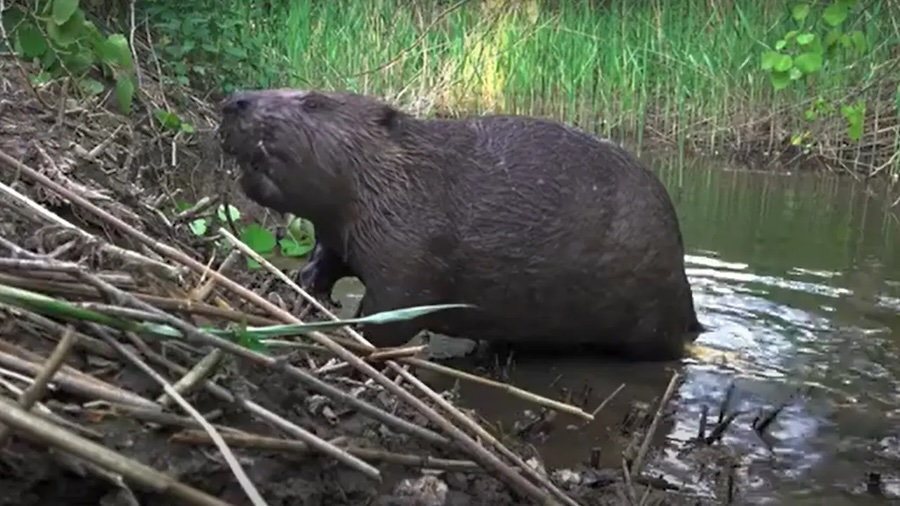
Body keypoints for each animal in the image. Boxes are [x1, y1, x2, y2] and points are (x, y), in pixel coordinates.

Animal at [220, 90, 704, 360]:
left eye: (313, 101)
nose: (234, 101)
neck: (402, 176)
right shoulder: (343, 228)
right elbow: (328, 255)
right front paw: (305, 284)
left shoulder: (413, 240)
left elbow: (395, 309)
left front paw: (351, 331)